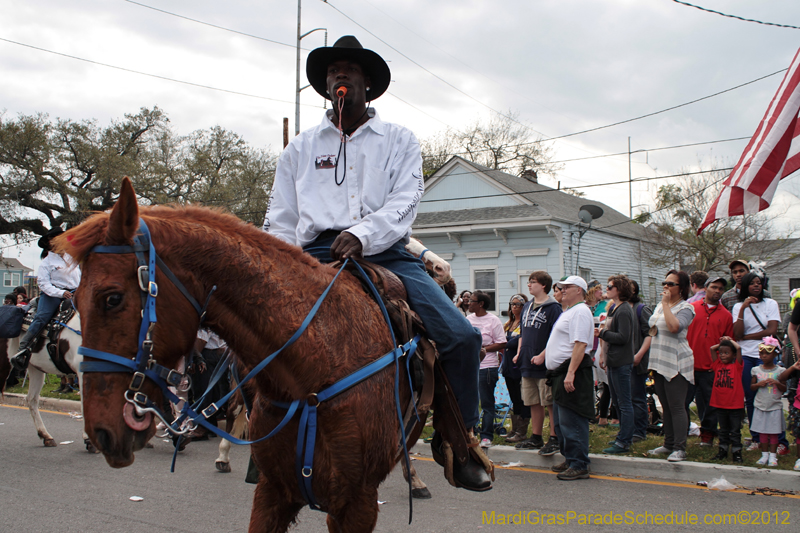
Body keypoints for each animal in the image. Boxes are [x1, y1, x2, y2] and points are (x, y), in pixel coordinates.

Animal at [57, 180, 424, 532]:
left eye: (112, 298)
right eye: (74, 300)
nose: (102, 432)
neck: (316, 374)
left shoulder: (355, 504)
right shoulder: (274, 491)